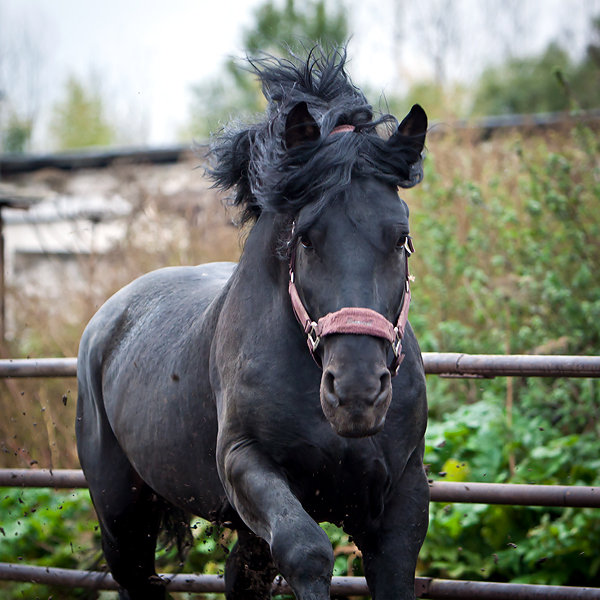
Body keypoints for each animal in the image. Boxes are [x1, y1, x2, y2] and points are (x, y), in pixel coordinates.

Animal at [77, 48, 428, 600]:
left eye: (400, 238)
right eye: (306, 237)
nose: (356, 391)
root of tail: (106, 321)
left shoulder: (402, 499)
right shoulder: (244, 462)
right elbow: (307, 551)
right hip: (121, 516)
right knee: (139, 578)